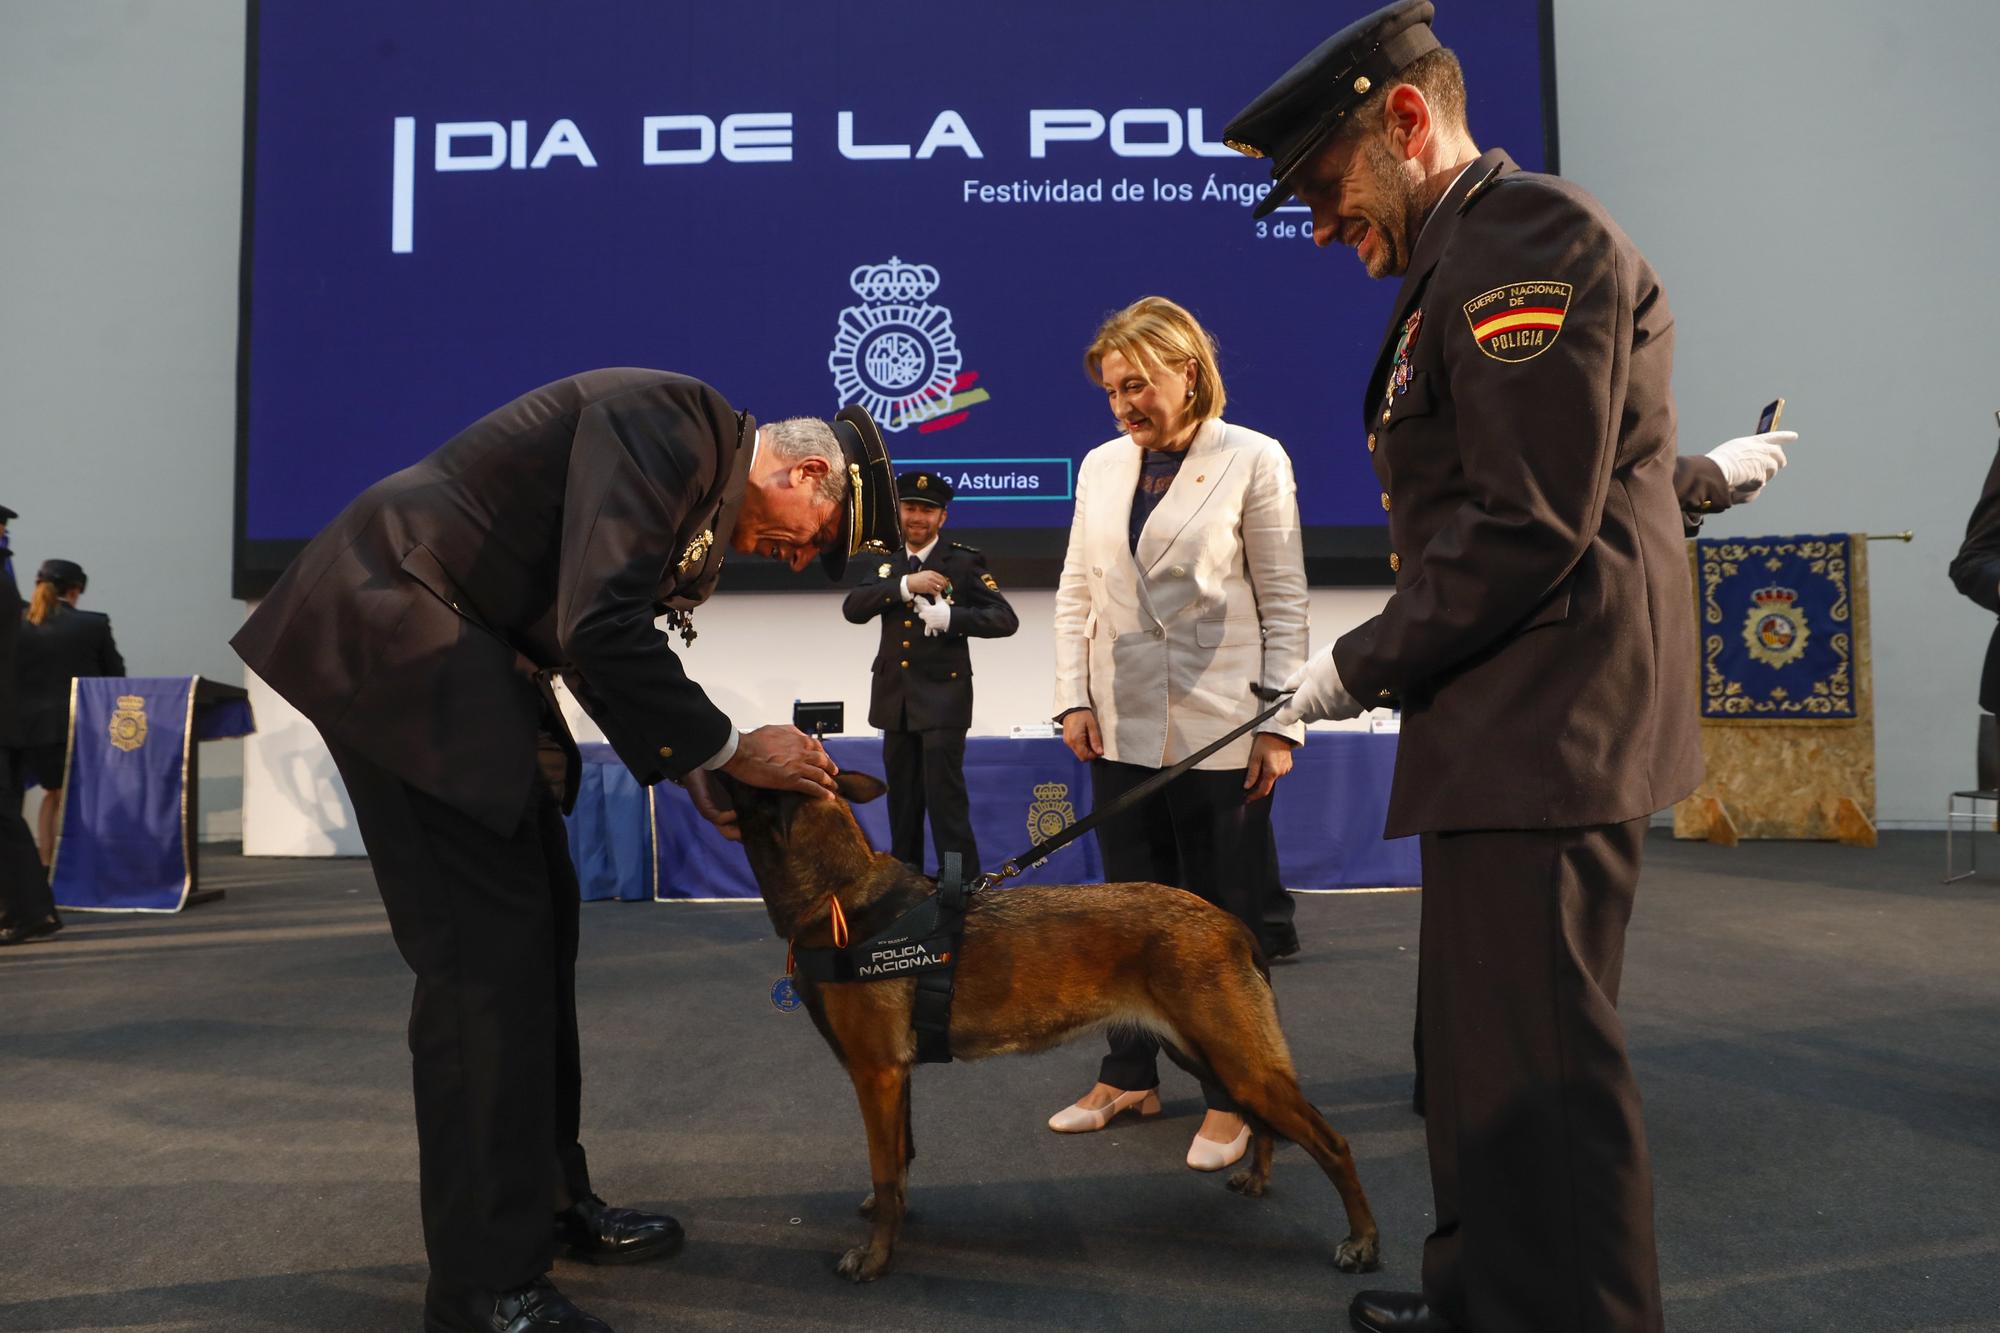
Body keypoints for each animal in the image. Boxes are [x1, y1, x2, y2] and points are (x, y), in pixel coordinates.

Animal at [712, 764, 1384, 1280]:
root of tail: (1227, 921)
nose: (720, 752)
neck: (843, 896)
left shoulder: (875, 1073)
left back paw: (1364, 1243)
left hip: (1236, 1059)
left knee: (1332, 1144)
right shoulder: (895, 1078)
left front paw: (876, 1259)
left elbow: (884, 1170)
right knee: (1265, 1122)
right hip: (1208, 1053)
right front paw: (891, 1222)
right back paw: (1258, 1177)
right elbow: (899, 1162)